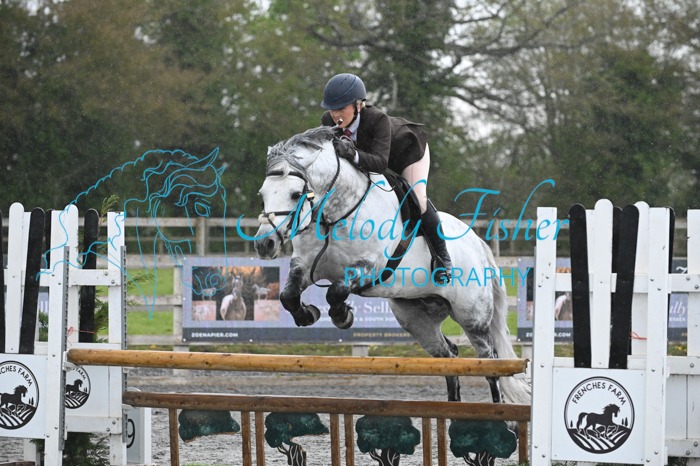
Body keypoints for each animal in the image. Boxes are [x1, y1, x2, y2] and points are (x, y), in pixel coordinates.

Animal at [246, 126, 530, 404]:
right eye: (262, 195)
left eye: (296, 195)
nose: (265, 244)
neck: (333, 214)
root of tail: (478, 245)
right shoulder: (305, 265)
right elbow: (288, 295)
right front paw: (308, 314)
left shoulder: (369, 267)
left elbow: (336, 291)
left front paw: (342, 316)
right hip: (417, 318)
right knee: (447, 356)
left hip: (473, 317)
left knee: (490, 363)